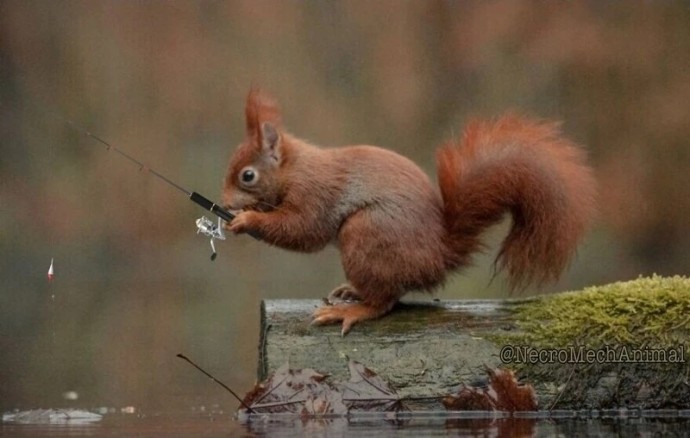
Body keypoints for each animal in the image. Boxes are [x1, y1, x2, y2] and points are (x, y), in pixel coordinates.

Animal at [223, 90, 592, 336]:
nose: (225, 204)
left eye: (247, 175)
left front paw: (247, 219)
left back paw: (353, 309)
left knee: (384, 302)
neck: (293, 169)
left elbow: (302, 230)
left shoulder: (313, 193)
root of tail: (439, 255)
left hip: (365, 233)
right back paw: (352, 291)